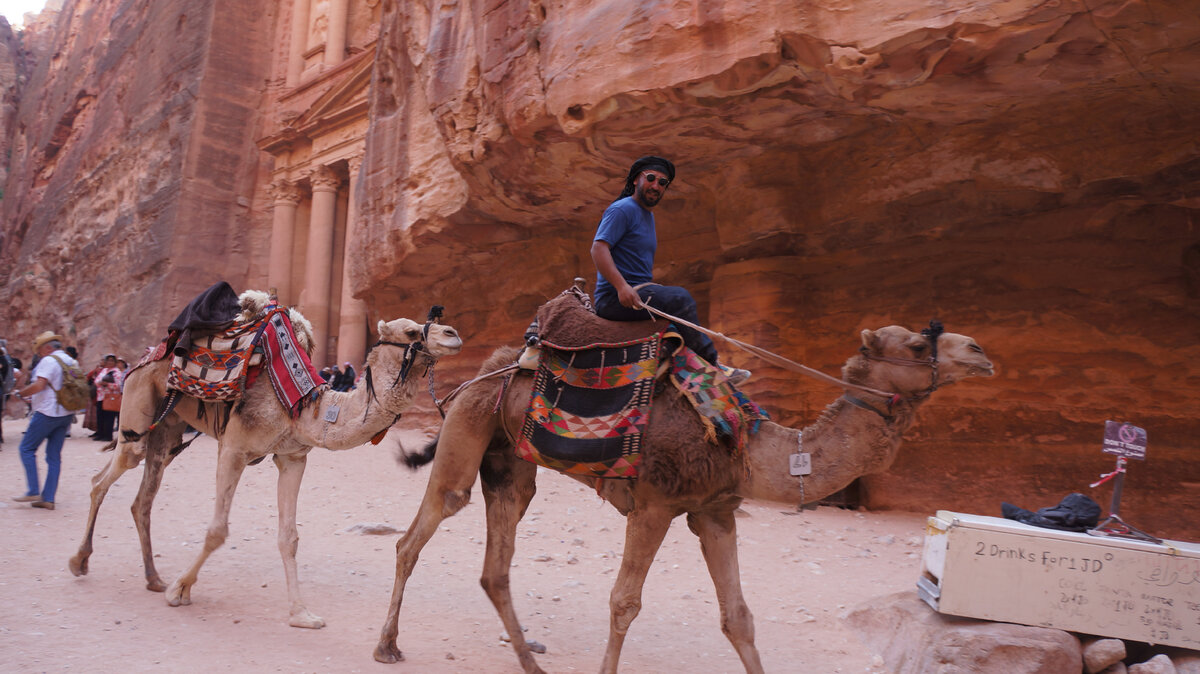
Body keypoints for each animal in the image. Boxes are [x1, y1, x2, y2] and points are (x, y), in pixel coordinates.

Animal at [69, 311, 463, 628]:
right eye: (411, 331)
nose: (453, 334)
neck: (306, 407)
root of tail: (149, 354)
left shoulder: (292, 458)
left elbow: (289, 537)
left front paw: (302, 614)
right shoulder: (234, 448)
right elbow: (217, 530)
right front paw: (180, 590)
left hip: (168, 430)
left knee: (144, 497)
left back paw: (153, 578)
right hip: (138, 401)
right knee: (104, 477)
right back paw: (80, 562)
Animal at [372, 319, 993, 666]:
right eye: (917, 345)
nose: (980, 351)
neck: (749, 447)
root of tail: (489, 369)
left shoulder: (715, 512)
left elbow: (738, 617)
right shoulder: (654, 506)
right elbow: (624, 603)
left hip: (509, 464)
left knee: (495, 566)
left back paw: (531, 663)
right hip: (468, 430)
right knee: (418, 532)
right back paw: (388, 646)